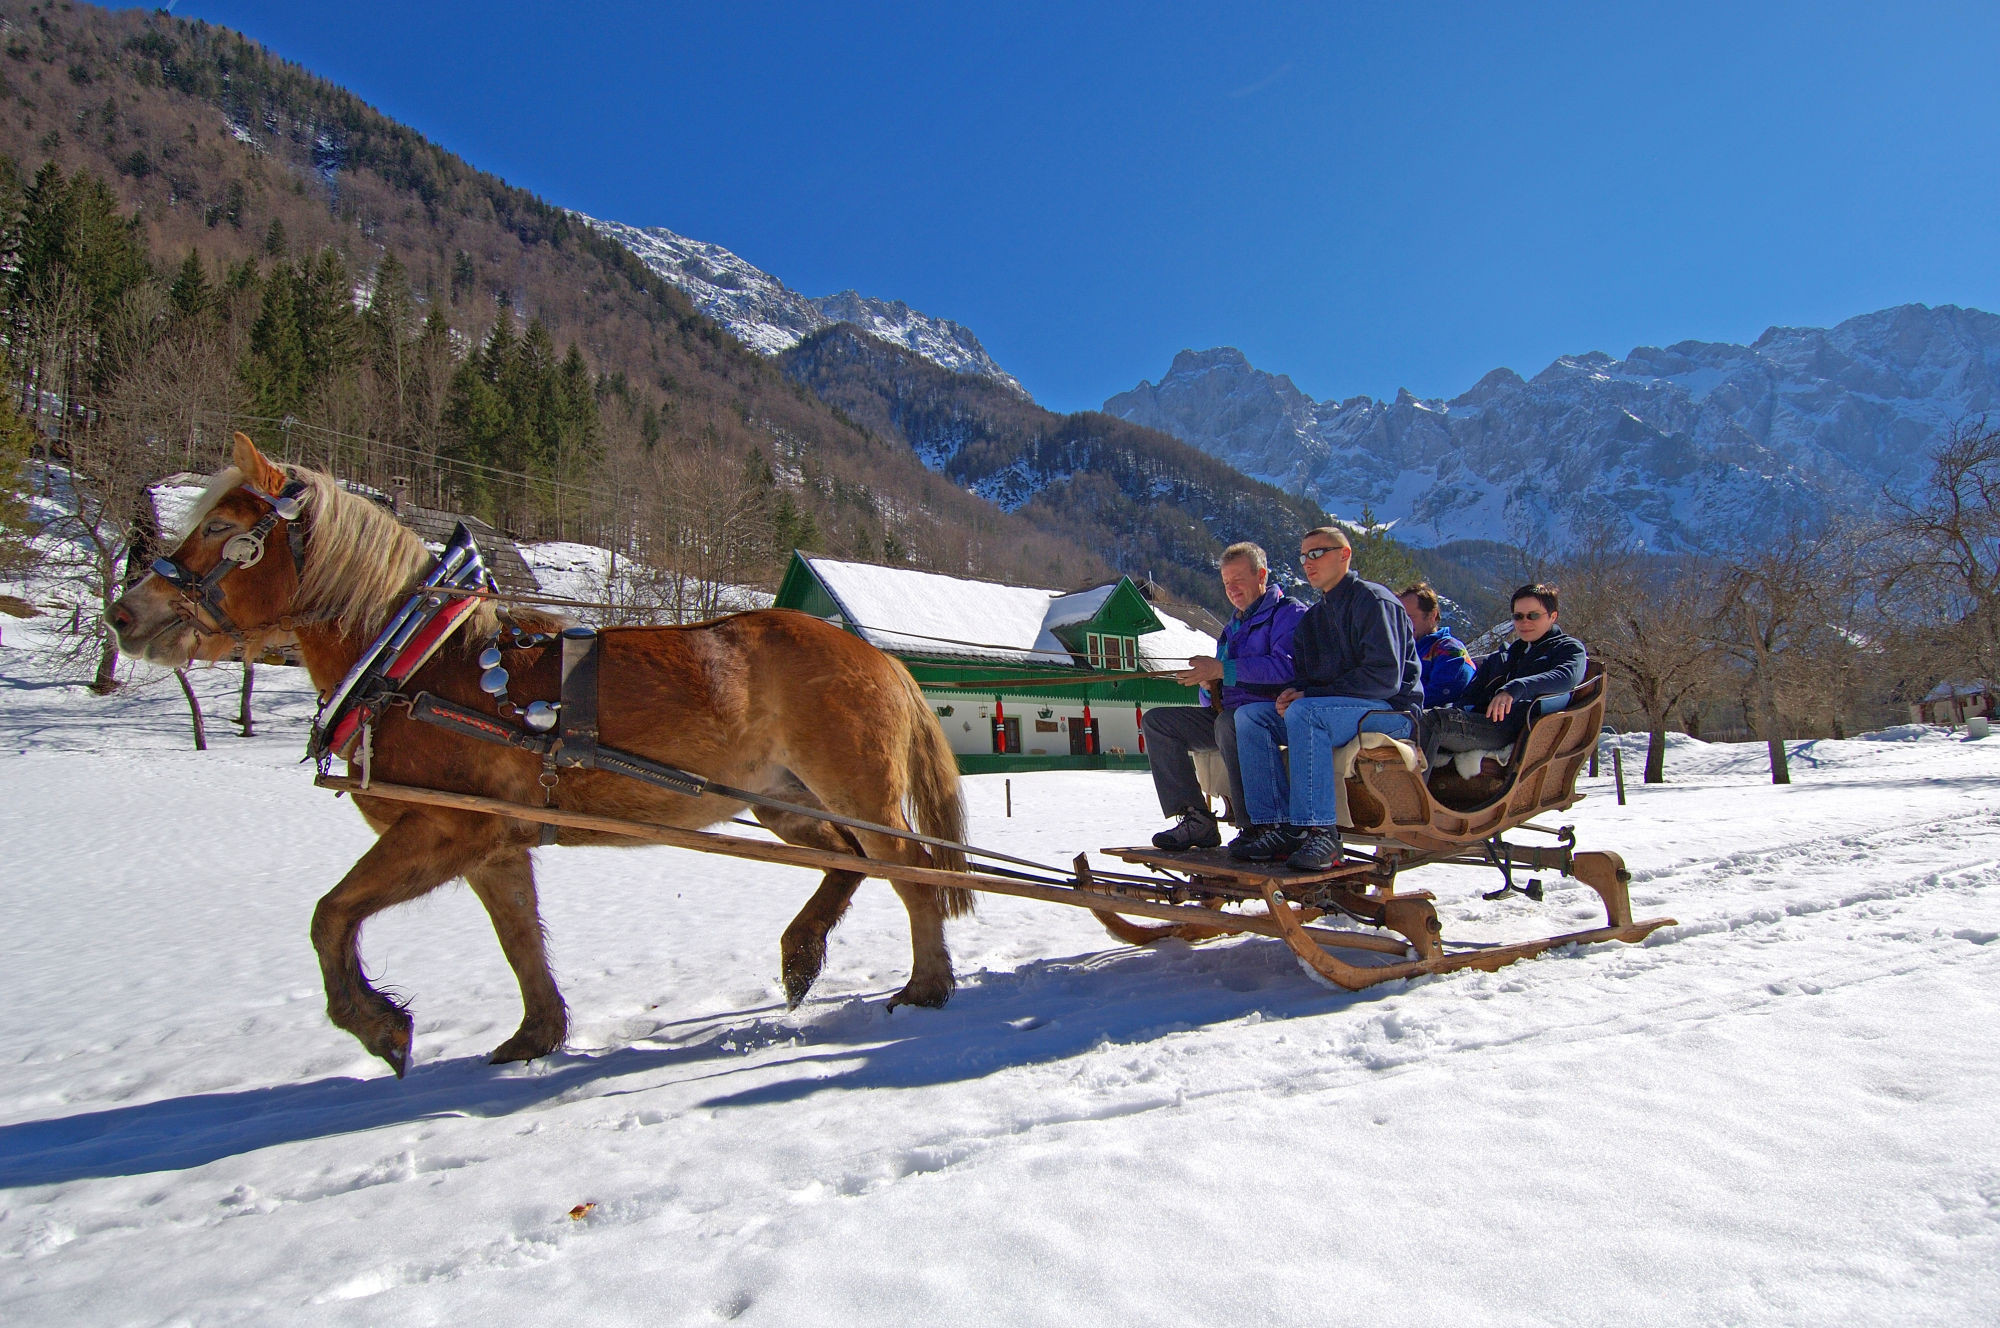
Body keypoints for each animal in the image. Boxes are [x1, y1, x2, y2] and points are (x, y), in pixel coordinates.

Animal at [113, 436, 972, 1080]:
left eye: (223, 529)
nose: (125, 614)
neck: (419, 664)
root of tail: (879, 658)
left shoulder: (443, 827)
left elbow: (331, 916)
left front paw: (379, 1026)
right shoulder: (493, 840)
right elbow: (518, 937)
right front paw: (537, 1035)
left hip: (853, 788)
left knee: (910, 871)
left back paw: (927, 985)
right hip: (782, 800)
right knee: (849, 863)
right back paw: (802, 955)